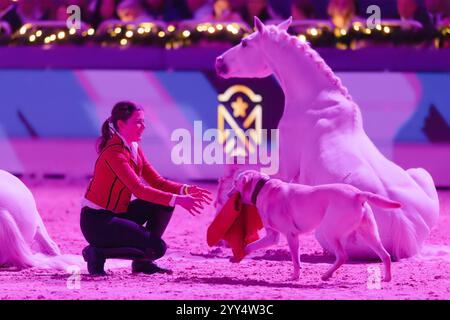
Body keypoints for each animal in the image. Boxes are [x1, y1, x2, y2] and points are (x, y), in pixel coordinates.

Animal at [214, 16, 440, 260]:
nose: (219, 62)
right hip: (421, 173)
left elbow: (241, 164)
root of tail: (405, 231)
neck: (316, 101)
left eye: (245, 43)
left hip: (323, 234)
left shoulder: (284, 168)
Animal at [229, 169, 400, 282]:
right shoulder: (272, 236)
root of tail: (358, 194)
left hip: (329, 232)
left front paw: (295, 277)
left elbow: (295, 261)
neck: (263, 187)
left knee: (343, 256)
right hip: (369, 234)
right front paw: (238, 256)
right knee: (385, 256)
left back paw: (326, 275)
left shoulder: (289, 235)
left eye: (235, 182)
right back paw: (387, 278)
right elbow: (251, 246)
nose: (228, 194)